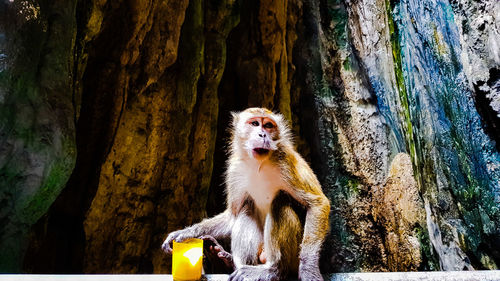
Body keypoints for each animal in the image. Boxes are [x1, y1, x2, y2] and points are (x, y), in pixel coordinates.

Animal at [162, 107, 330, 280]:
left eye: (268, 125)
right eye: (255, 123)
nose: (262, 134)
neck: (259, 164)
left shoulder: (286, 160)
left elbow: (317, 204)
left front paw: (308, 268)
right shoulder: (234, 169)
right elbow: (233, 215)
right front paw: (186, 232)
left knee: (280, 202)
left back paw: (274, 269)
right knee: (246, 209)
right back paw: (230, 261)